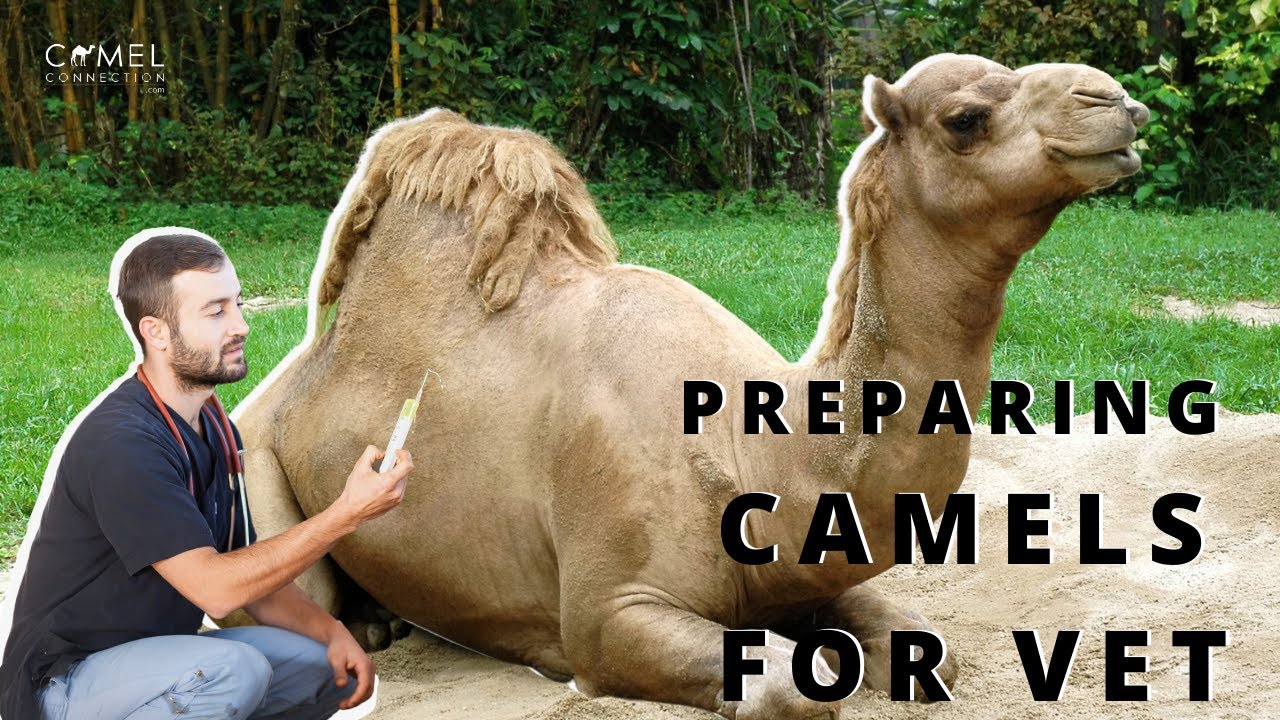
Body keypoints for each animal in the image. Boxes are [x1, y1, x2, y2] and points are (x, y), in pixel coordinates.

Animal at [231, 54, 1148, 718]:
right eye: (965, 118)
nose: (1116, 101)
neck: (758, 453)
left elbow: (932, 652)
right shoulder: (608, 615)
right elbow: (784, 689)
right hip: (251, 466)